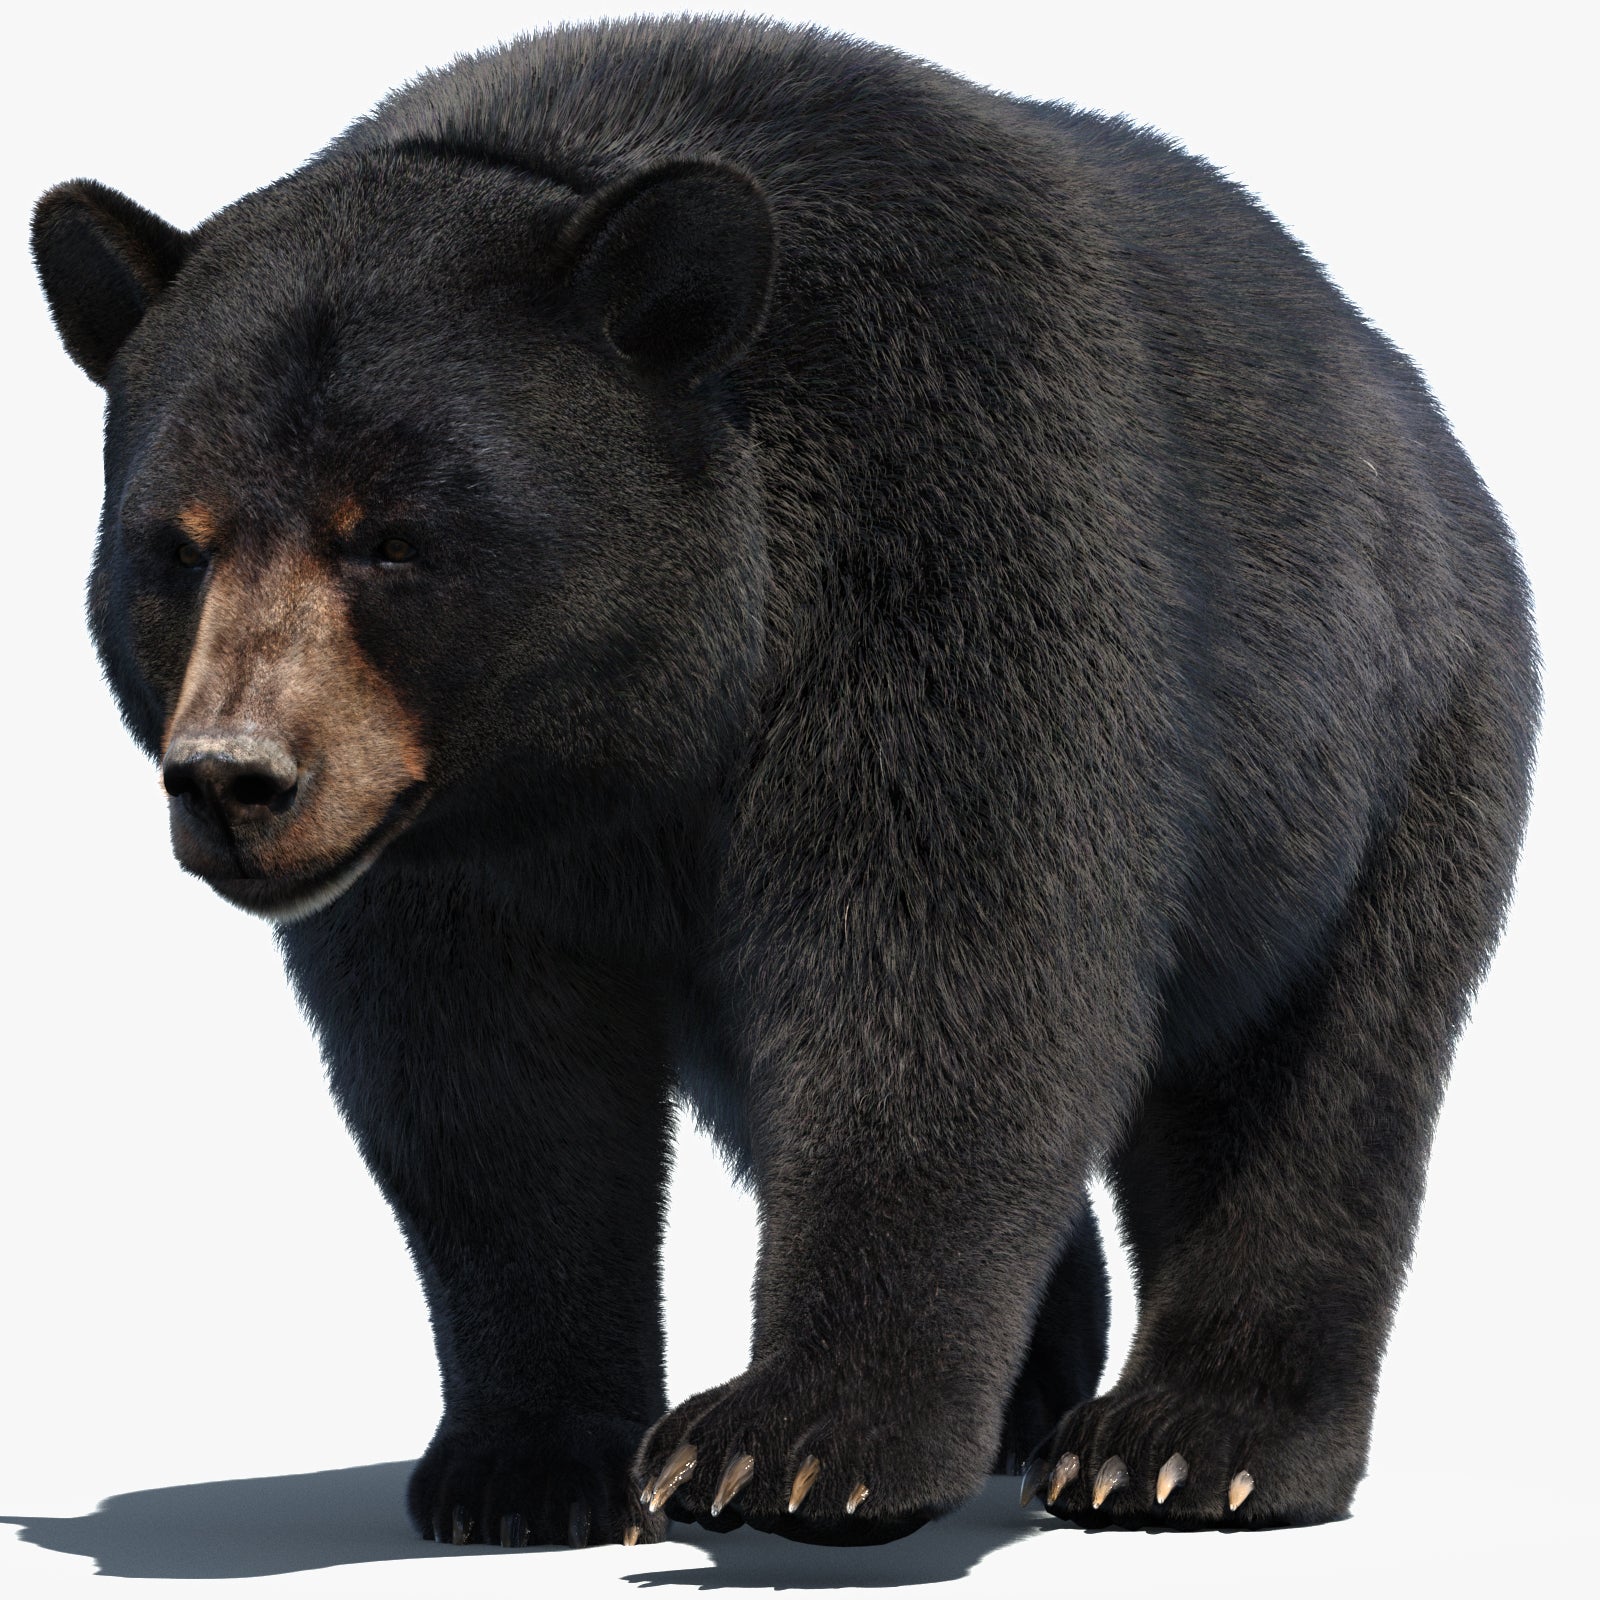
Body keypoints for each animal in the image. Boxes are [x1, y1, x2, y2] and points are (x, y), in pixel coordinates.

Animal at [31, 13, 1537, 1551]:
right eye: (176, 546)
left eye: (393, 538)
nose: (235, 780)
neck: (612, 743)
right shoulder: (446, 836)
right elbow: (489, 1087)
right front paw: (527, 1465)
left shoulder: (949, 526)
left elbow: (945, 977)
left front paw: (800, 1443)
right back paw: (1031, 1399)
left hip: (1378, 732)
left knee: (1310, 1071)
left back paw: (1189, 1444)